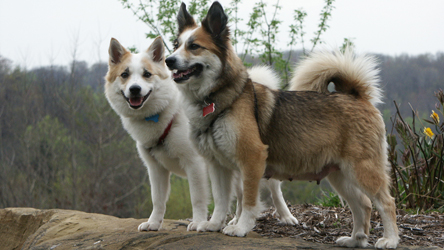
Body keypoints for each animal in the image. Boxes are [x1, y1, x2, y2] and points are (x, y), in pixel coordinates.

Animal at [166, 1, 398, 248]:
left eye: (194, 46)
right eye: (176, 44)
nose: (168, 60)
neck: (220, 99)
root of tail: (357, 96)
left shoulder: (252, 160)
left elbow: (248, 201)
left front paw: (241, 228)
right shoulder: (218, 166)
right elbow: (221, 201)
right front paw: (214, 224)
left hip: (362, 169)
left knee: (386, 203)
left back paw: (390, 239)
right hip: (340, 174)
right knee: (362, 204)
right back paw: (355, 239)